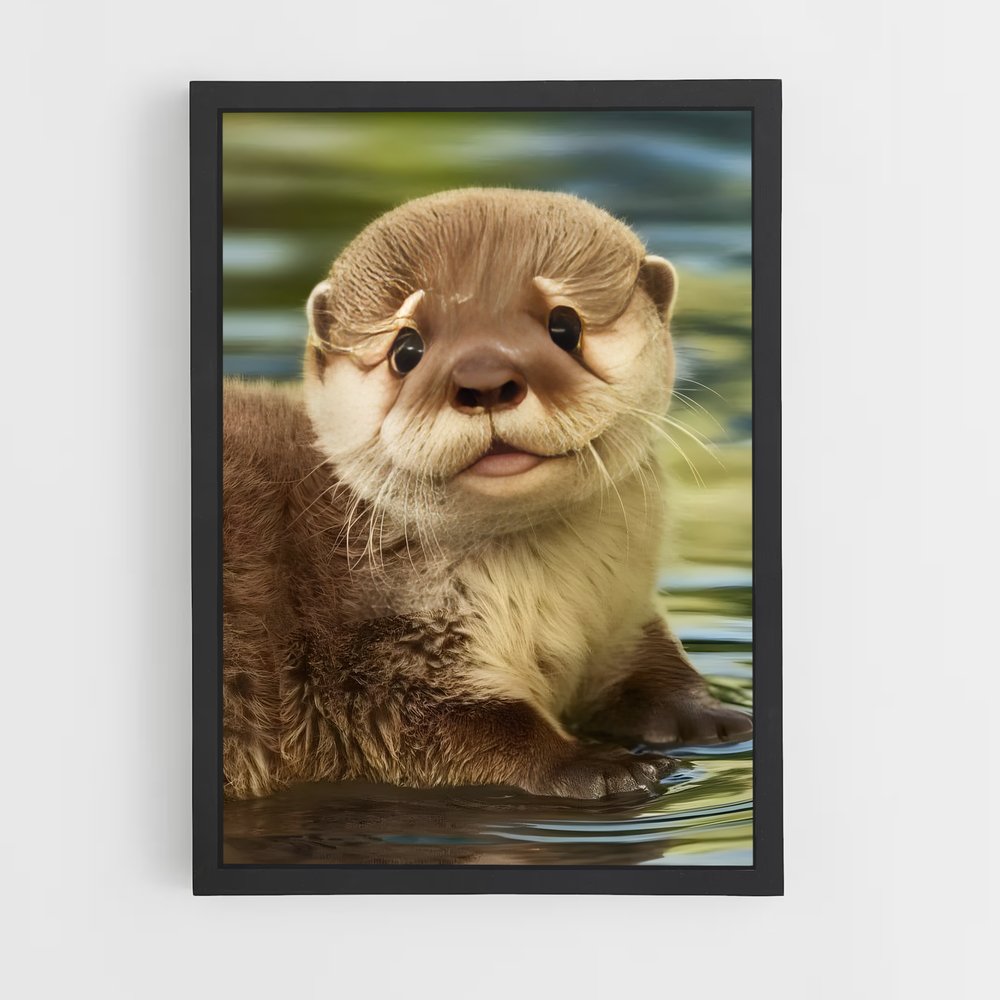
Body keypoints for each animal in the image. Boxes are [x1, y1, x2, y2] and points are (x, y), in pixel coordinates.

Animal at [223, 188, 752, 801]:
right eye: (406, 348)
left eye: (564, 325)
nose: (485, 378)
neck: (547, 596)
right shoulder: (370, 657)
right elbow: (451, 727)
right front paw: (602, 765)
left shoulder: (620, 611)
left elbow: (656, 669)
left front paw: (715, 716)